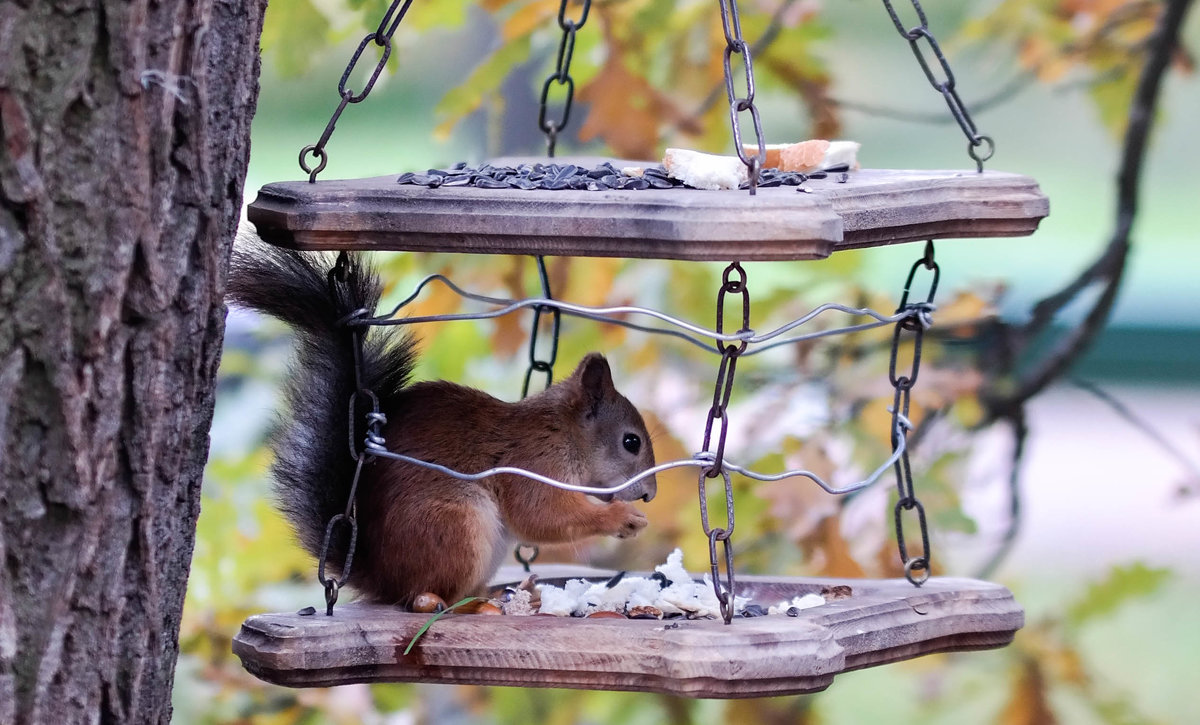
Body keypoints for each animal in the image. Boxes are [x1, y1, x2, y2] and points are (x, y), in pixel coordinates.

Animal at [225, 242, 657, 604]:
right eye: (631, 442)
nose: (650, 495)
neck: (565, 435)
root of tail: (383, 581)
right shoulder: (531, 464)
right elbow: (542, 517)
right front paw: (621, 518)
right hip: (455, 525)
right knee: (434, 597)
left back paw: (514, 590)